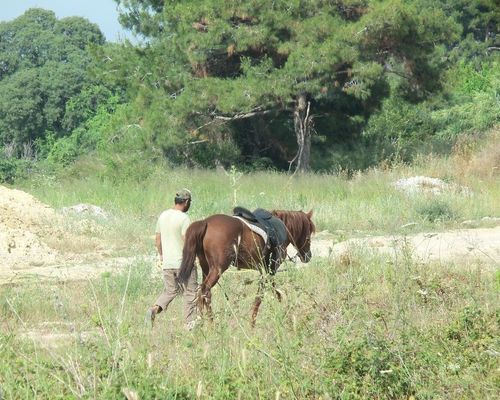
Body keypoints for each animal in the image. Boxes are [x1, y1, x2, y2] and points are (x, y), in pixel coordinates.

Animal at [178, 211, 314, 324]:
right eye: (309, 233)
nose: (308, 256)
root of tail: (205, 222)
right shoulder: (270, 271)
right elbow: (261, 297)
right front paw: (253, 323)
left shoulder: (265, 271)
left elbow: (275, 293)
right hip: (217, 269)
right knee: (203, 292)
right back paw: (206, 324)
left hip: (206, 268)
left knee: (205, 294)